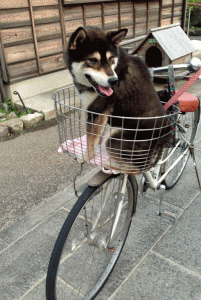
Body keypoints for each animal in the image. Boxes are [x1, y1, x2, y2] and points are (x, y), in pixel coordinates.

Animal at [65, 27, 172, 175]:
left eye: (110, 59)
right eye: (93, 60)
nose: (114, 81)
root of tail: (162, 141)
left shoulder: (97, 111)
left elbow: (91, 141)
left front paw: (86, 157)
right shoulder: (100, 116)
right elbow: (95, 137)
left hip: (112, 137)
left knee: (135, 170)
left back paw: (109, 165)